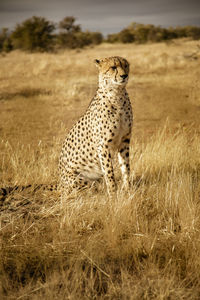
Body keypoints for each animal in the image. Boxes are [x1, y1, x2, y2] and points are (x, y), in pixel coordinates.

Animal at [58, 56, 132, 198]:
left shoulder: (124, 140)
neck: (117, 95)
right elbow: (109, 173)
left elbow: (126, 168)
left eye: (126, 66)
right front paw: (113, 195)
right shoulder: (103, 145)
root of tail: (58, 183)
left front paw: (129, 190)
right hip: (78, 180)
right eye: (113, 67)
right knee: (88, 189)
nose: (124, 75)